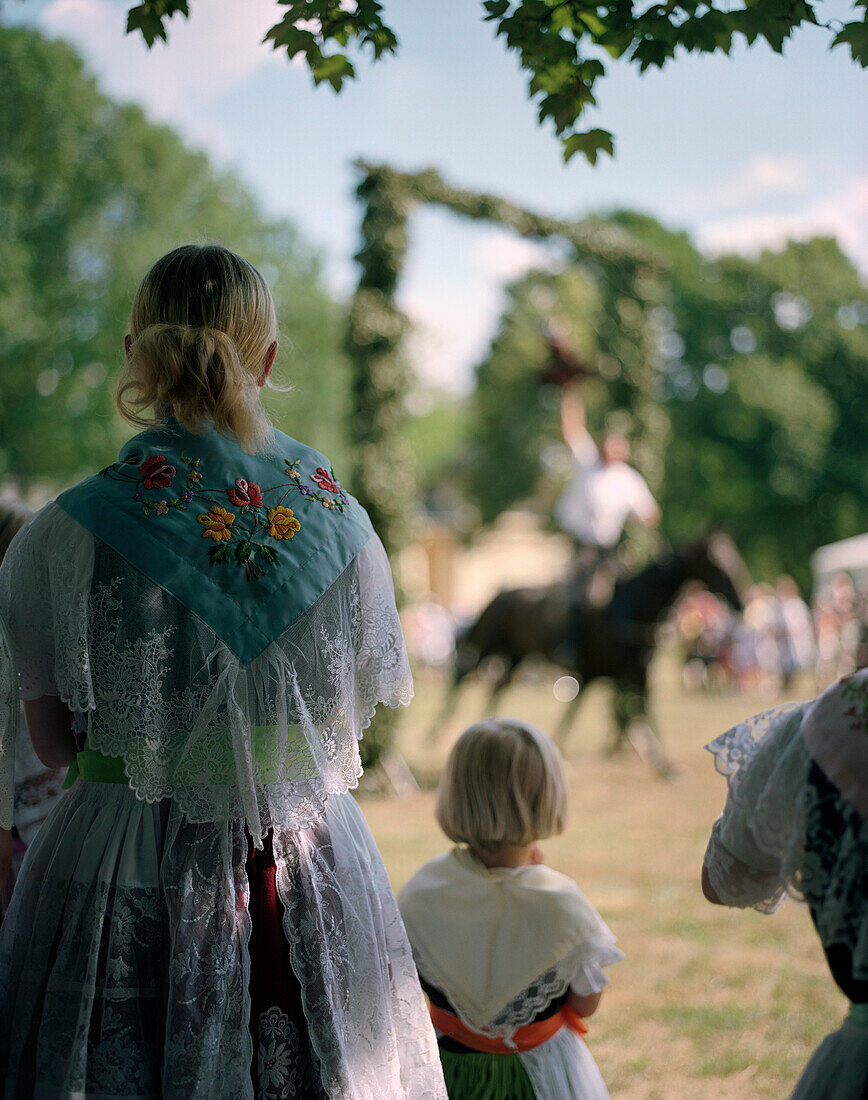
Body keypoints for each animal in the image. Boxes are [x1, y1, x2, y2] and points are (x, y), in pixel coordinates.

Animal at [433, 536, 743, 778]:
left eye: (732, 556)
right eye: (716, 562)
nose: (740, 602)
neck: (629, 608)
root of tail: (499, 594)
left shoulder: (633, 674)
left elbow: (639, 712)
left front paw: (662, 764)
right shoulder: (593, 673)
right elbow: (585, 712)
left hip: (516, 655)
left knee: (496, 686)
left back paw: (489, 727)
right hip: (486, 645)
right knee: (461, 676)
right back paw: (438, 733)